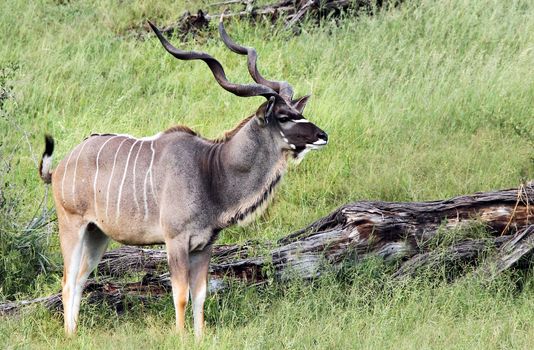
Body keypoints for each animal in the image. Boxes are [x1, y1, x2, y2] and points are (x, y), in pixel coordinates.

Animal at [38, 17, 326, 338]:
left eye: (298, 111)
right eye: (284, 117)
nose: (322, 135)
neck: (211, 169)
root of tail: (60, 168)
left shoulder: (204, 246)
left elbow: (200, 294)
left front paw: (199, 337)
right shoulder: (175, 241)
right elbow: (180, 295)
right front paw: (181, 336)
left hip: (97, 234)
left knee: (79, 280)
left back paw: (74, 333)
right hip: (72, 227)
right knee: (67, 282)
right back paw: (69, 335)